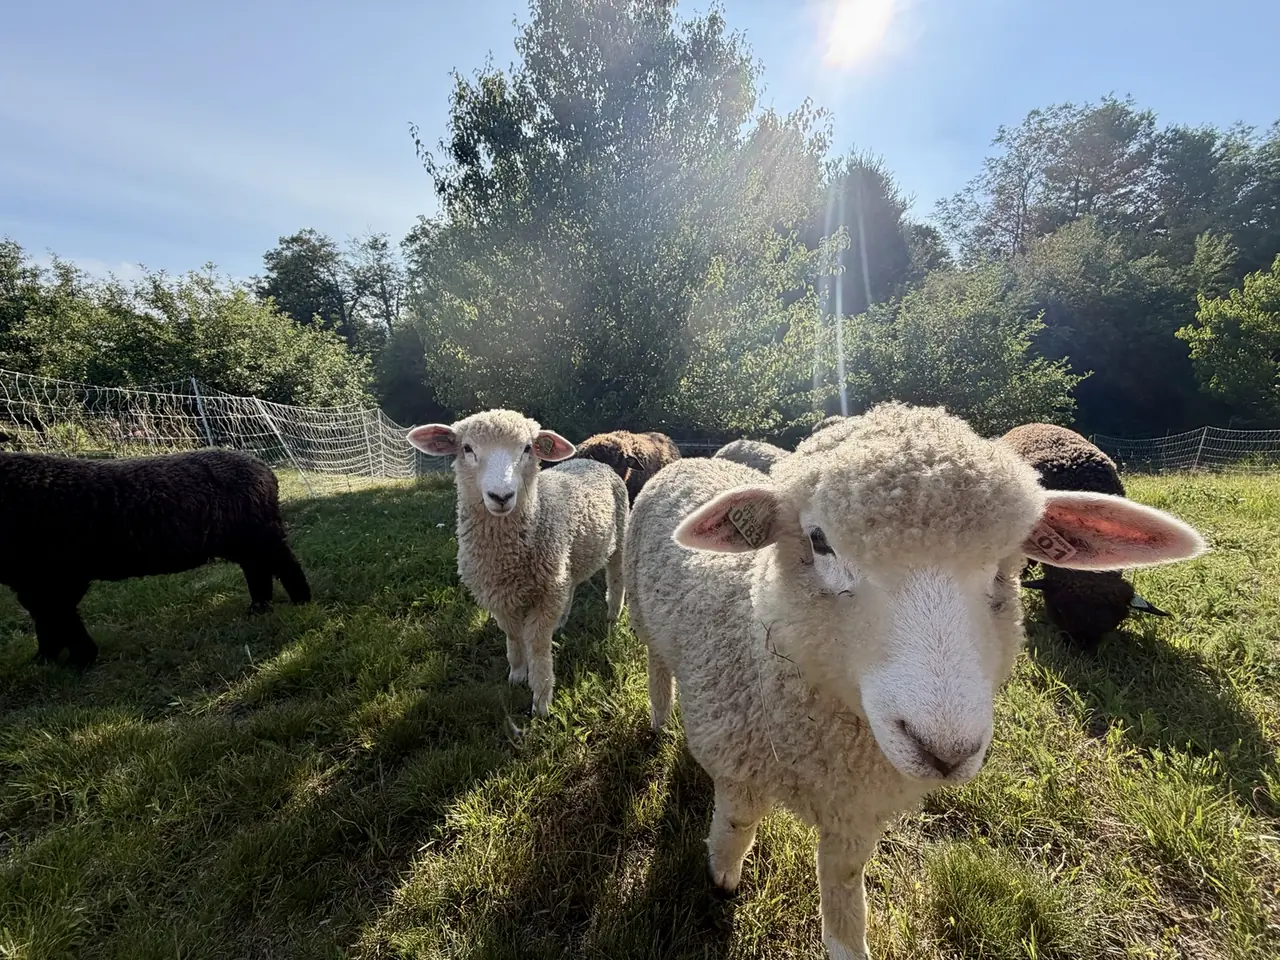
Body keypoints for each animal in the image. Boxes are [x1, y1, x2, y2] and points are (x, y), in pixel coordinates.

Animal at [0, 447, 312, 668]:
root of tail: (264, 470)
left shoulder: (56, 575)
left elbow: (60, 617)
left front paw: (80, 660)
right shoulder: (33, 581)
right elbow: (46, 619)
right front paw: (44, 660)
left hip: (261, 533)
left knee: (285, 565)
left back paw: (301, 601)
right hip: (243, 540)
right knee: (256, 568)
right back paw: (259, 607)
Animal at [407, 409, 629, 716]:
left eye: (526, 449)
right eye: (467, 448)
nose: (501, 496)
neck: (508, 558)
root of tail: (594, 463)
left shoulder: (545, 596)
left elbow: (537, 645)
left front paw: (542, 701)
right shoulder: (500, 596)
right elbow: (513, 636)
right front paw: (517, 674)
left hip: (618, 537)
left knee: (616, 578)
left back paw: (612, 614)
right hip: (565, 562)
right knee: (571, 584)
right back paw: (563, 620)